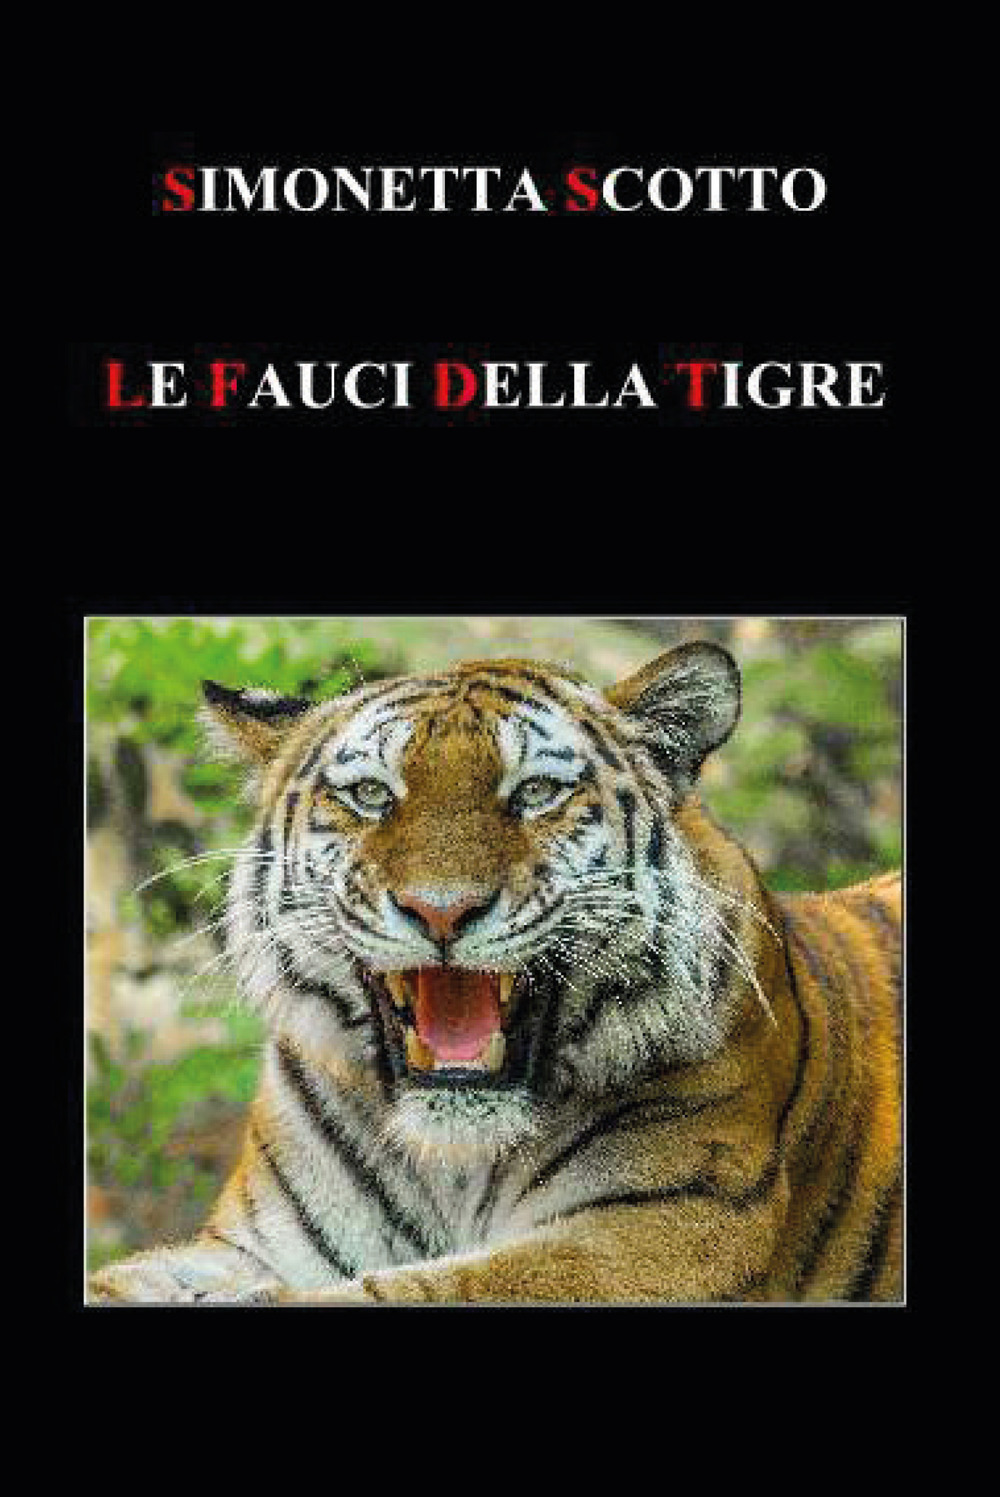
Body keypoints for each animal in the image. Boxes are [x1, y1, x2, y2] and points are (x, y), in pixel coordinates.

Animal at [87, 642, 902, 1305]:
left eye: (536, 791)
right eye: (371, 795)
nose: (440, 910)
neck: (453, 1162)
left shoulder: (667, 1231)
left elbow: (424, 1288)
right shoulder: (251, 1244)